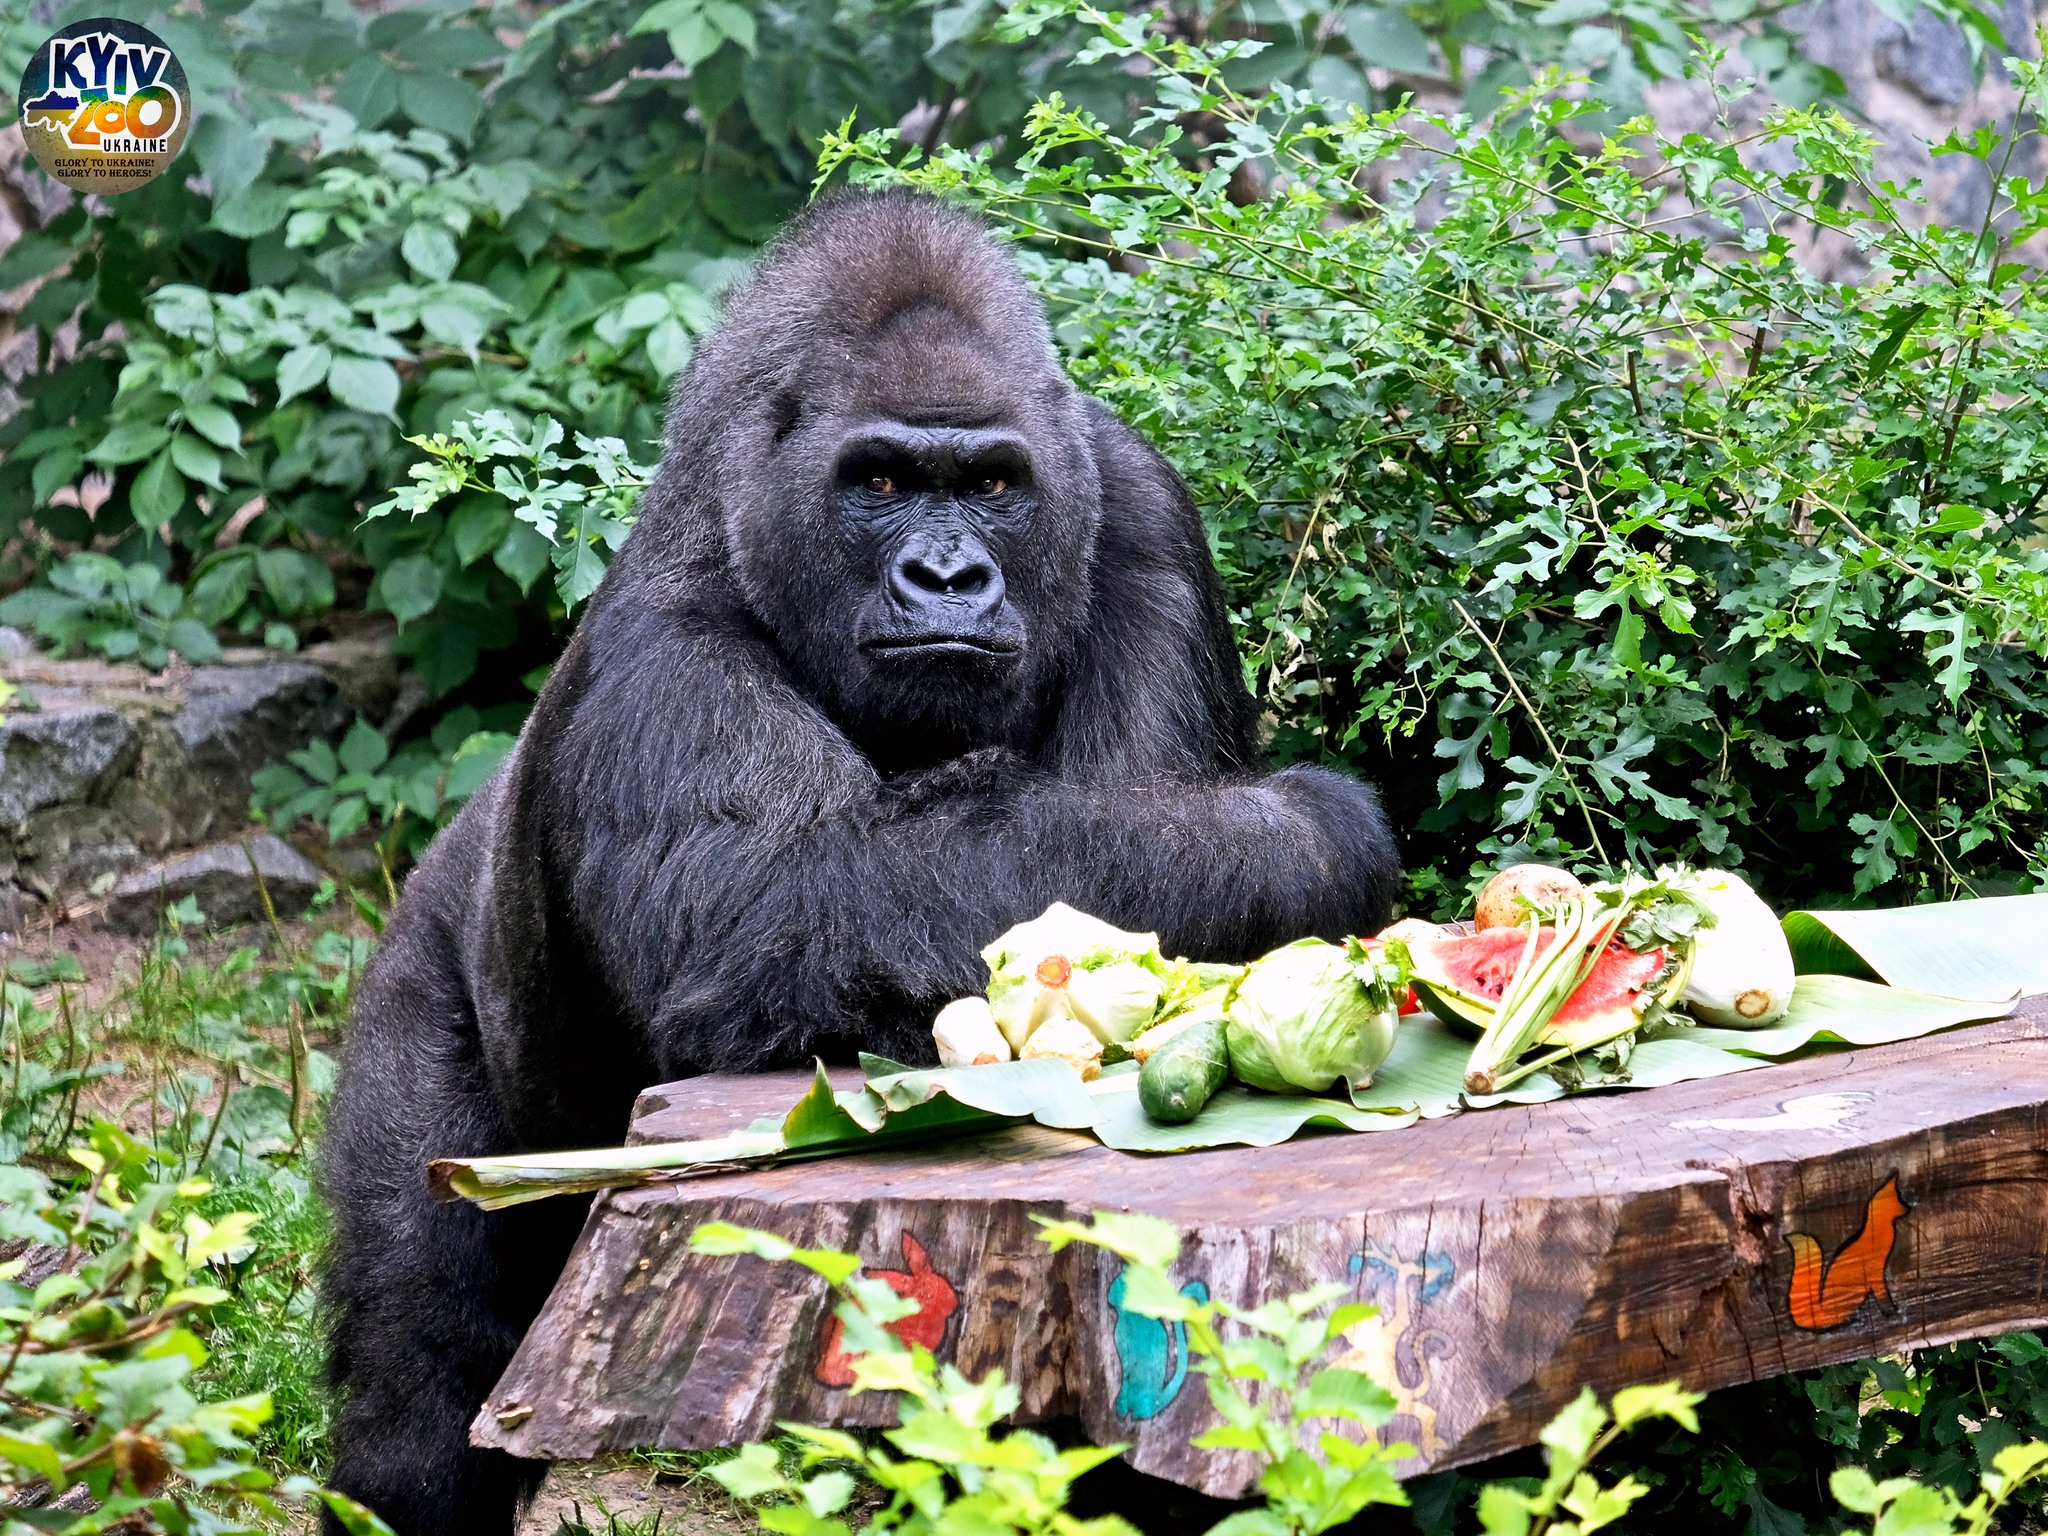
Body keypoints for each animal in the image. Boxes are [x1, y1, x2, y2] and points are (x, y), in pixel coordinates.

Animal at [323, 186, 1409, 1531]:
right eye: (879, 479)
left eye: (991, 483)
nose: (946, 574)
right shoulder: (662, 643)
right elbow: (782, 925)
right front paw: (1311, 835)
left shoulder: (1143, 513)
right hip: (428, 1009)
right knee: (417, 1355)